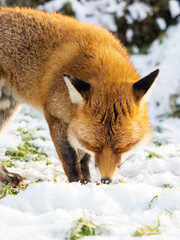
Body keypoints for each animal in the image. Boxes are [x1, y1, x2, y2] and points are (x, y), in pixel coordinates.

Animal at [0, 7, 159, 186]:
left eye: (121, 147)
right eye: (96, 146)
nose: (106, 180)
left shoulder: (78, 127)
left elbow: (83, 157)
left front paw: (87, 182)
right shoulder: (56, 118)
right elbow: (71, 159)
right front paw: (77, 184)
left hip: (6, 110)